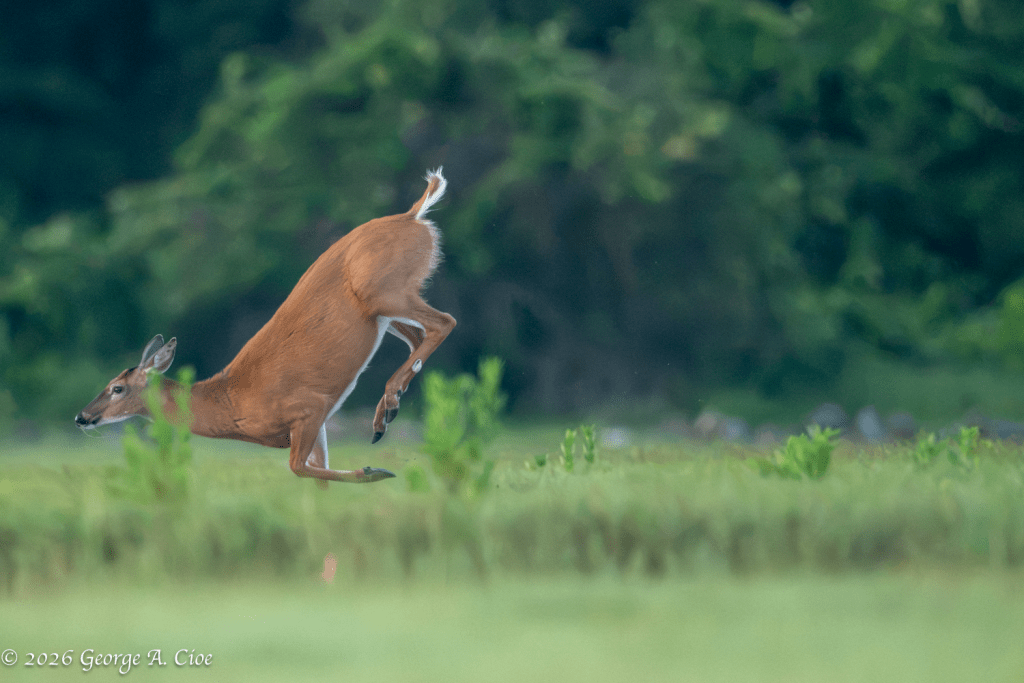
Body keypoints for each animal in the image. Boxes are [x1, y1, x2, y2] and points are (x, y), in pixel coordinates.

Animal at [75, 169, 456, 485]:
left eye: (117, 388)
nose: (82, 417)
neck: (232, 402)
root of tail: (413, 216)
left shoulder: (308, 408)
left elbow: (299, 468)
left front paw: (375, 471)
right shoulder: (316, 425)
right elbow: (316, 473)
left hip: (383, 292)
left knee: (444, 322)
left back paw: (386, 411)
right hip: (383, 312)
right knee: (420, 335)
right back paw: (386, 413)